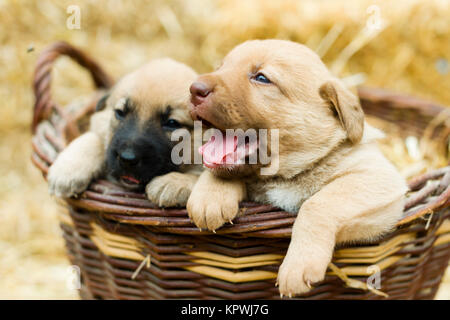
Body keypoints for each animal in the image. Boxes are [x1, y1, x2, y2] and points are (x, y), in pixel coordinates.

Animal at [48, 58, 200, 206]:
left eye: (172, 123)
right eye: (120, 113)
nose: (127, 159)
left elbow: (200, 176)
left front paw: (172, 183)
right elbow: (94, 139)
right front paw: (68, 169)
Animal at [187, 39, 408, 296]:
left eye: (261, 78)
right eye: (220, 67)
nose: (194, 88)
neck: (285, 175)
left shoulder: (378, 178)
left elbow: (316, 205)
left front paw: (298, 265)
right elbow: (214, 170)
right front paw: (209, 198)